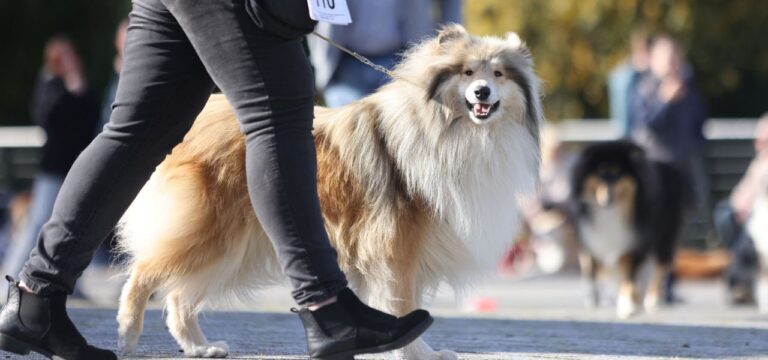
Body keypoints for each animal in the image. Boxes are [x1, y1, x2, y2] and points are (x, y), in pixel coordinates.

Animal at [117, 23, 544, 358]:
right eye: (467, 72)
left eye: (499, 73)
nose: (482, 93)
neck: (452, 129)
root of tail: (197, 118)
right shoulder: (396, 250)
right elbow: (403, 305)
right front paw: (417, 352)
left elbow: (409, 304)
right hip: (207, 232)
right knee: (144, 273)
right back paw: (126, 335)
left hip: (229, 248)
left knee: (178, 297)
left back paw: (200, 347)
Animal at [568, 141, 684, 318]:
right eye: (600, 174)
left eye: (618, 175)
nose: (607, 198)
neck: (612, 212)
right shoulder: (590, 242)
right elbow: (591, 271)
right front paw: (594, 299)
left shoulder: (636, 244)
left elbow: (629, 277)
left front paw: (627, 306)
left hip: (664, 240)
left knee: (659, 269)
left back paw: (650, 301)